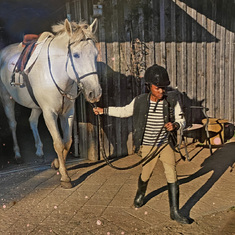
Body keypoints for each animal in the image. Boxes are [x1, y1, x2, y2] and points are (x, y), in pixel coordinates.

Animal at [0, 18, 101, 188]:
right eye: (76, 55)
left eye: (95, 54)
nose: (95, 93)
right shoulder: (50, 113)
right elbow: (58, 143)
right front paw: (65, 177)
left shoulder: (68, 112)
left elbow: (68, 141)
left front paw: (56, 163)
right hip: (7, 99)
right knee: (13, 124)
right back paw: (18, 155)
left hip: (36, 106)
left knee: (32, 121)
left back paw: (40, 151)